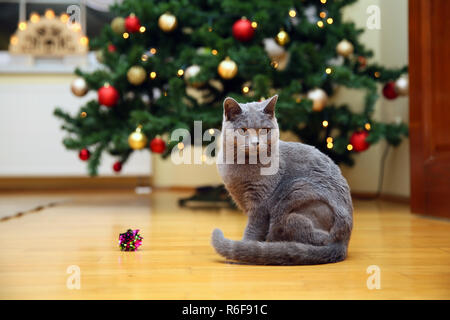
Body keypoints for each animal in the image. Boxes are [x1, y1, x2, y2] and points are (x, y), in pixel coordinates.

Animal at [213, 95, 354, 264]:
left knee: (316, 238)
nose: (256, 143)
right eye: (243, 130)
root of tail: (344, 243)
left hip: (294, 197)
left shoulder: (260, 204)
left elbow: (253, 229)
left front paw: (243, 248)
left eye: (265, 130)